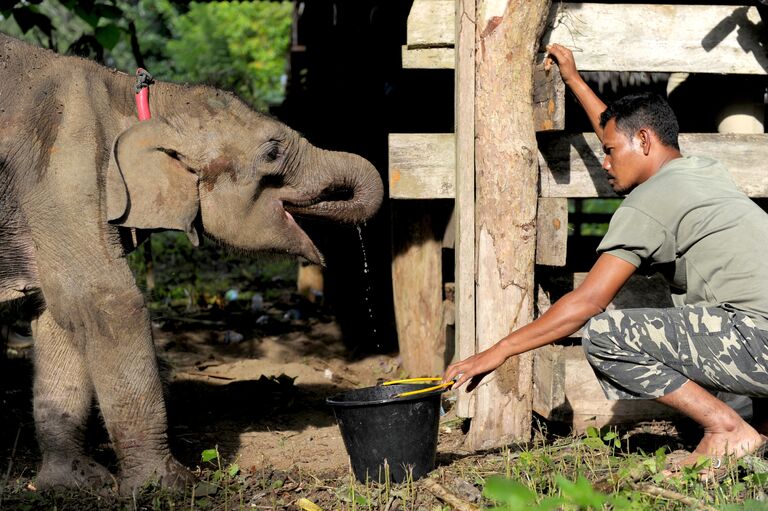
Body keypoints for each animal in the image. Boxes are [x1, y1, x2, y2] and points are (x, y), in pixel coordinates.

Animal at [0, 34, 382, 494]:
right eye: (273, 152)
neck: (132, 96)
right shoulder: (63, 171)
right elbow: (105, 302)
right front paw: (168, 486)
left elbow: (57, 316)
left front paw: (73, 482)